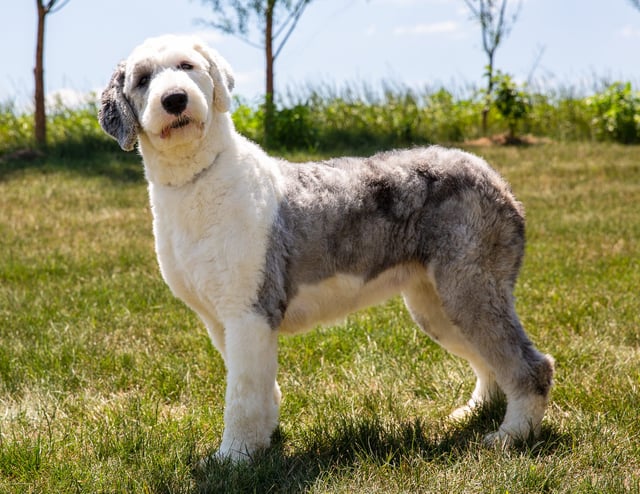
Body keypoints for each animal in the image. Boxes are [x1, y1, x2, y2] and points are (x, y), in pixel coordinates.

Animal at [97, 35, 552, 464]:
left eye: (187, 66)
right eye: (142, 79)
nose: (175, 99)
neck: (197, 178)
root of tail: (492, 175)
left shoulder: (248, 312)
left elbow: (241, 395)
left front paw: (234, 458)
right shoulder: (219, 320)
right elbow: (260, 387)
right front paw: (265, 439)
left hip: (470, 286)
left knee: (530, 365)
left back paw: (511, 435)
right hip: (436, 303)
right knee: (489, 361)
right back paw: (475, 413)